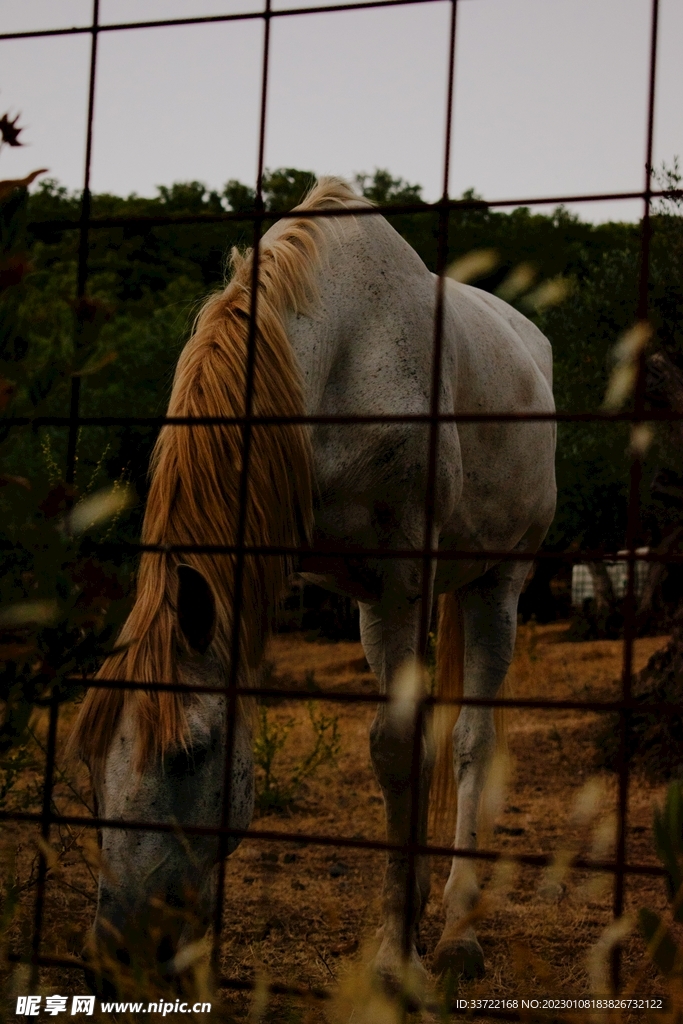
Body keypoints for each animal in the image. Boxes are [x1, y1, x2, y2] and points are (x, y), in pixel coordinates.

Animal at [72, 177, 556, 995]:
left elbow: (400, 747)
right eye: (89, 763)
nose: (118, 955)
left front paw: (396, 961)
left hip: (497, 582)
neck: (340, 359)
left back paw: (456, 932)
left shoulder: (403, 577)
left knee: (469, 742)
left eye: (190, 755)